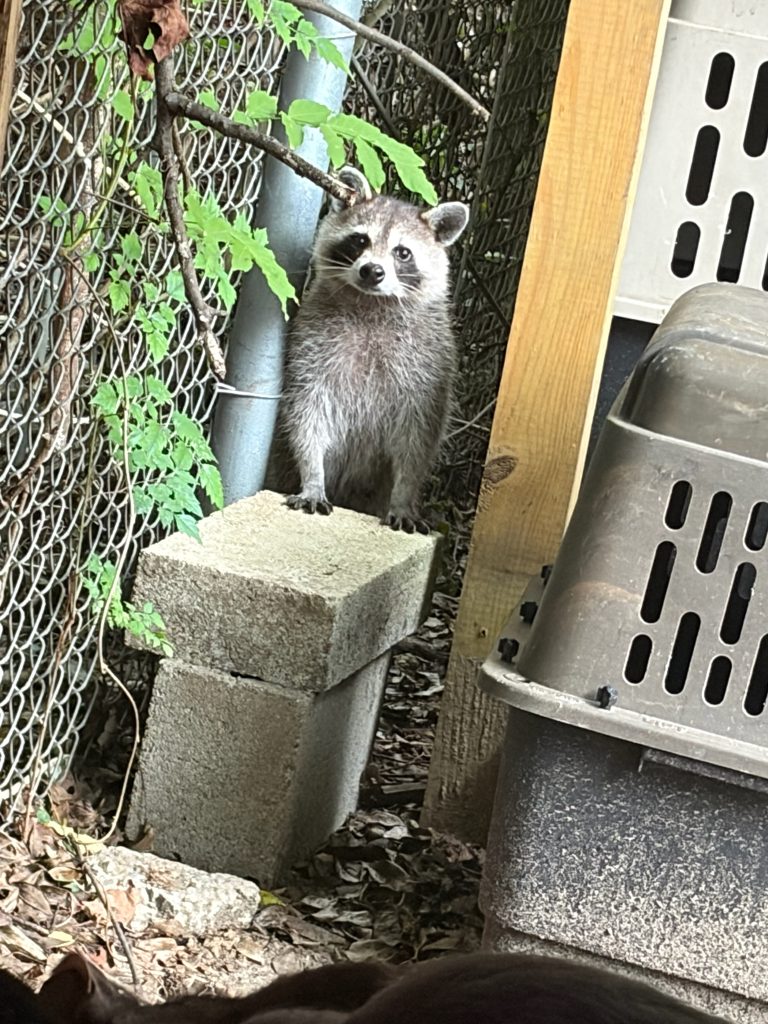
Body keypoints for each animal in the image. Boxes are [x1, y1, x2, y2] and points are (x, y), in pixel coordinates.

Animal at [281, 167, 469, 533]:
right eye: (360, 241)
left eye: (402, 252)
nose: (372, 271)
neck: (372, 304)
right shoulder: (312, 344)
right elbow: (308, 413)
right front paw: (312, 476)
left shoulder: (429, 364)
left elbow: (418, 437)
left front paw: (404, 495)